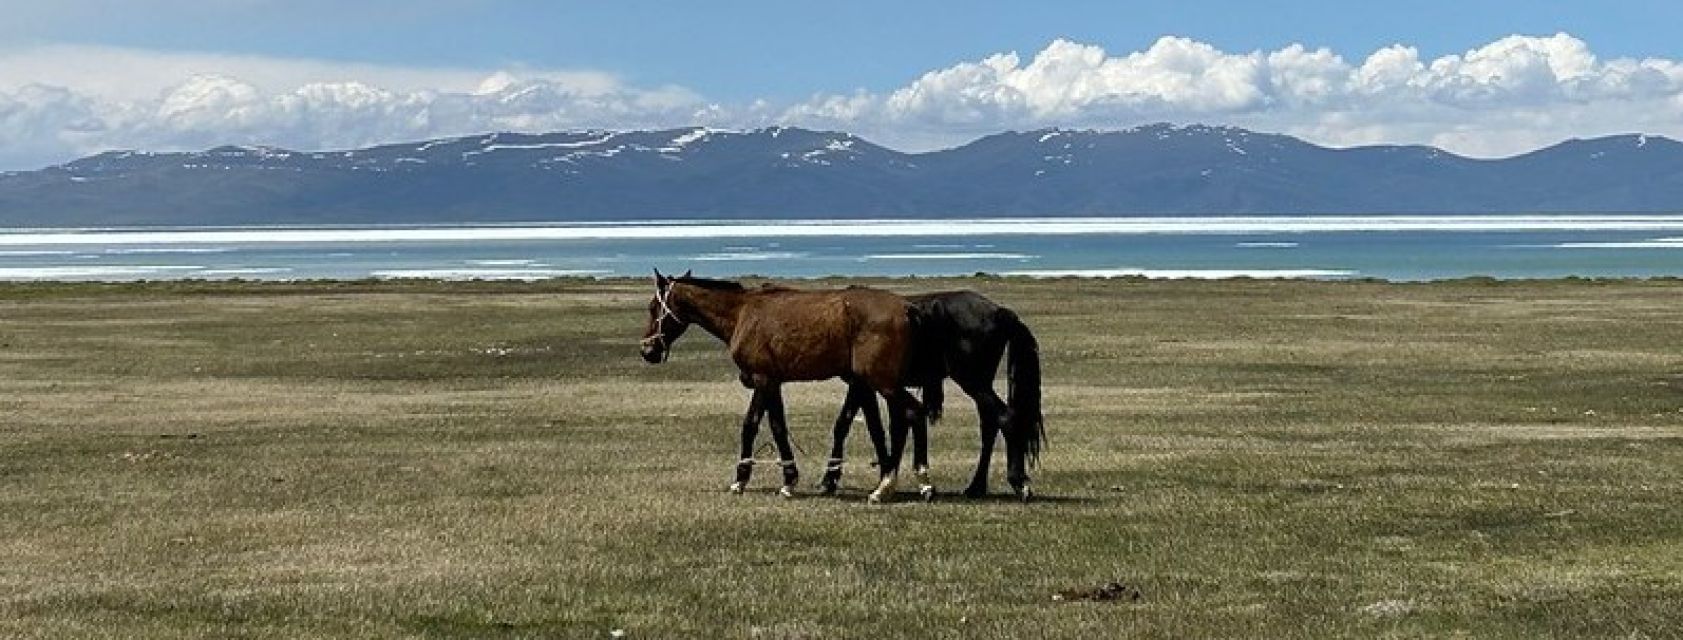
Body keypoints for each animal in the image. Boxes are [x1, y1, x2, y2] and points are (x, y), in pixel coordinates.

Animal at [642, 267, 935, 501]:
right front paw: (754, 478)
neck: (741, 313)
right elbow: (763, 426)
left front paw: (776, 481)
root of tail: (907, 308)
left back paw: (901, 483)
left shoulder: (763, 380)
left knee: (913, 412)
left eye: (653, 308)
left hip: (883, 382)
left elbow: (766, 426)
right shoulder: (770, 382)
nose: (647, 350)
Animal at [811, 289, 1036, 498]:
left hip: (974, 382)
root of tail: (1000, 311)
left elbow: (856, 426)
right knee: (990, 426)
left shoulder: (862, 385)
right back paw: (976, 486)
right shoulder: (865, 385)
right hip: (981, 384)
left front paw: (830, 480)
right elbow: (871, 427)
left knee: (1005, 417)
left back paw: (1018, 482)